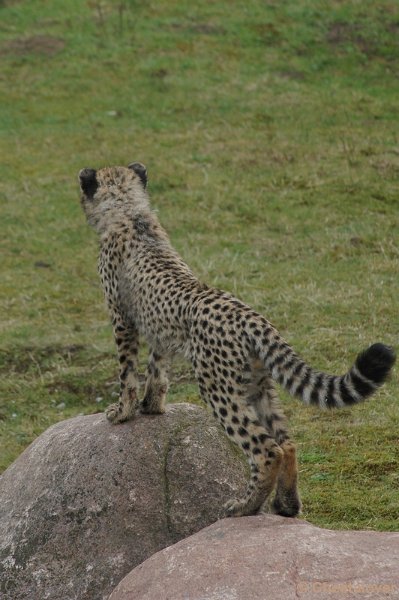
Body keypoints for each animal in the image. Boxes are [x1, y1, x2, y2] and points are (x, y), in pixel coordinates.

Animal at [79, 162, 396, 516]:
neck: (129, 213)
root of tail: (251, 316)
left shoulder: (122, 321)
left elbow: (127, 373)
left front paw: (122, 411)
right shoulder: (158, 331)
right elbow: (157, 369)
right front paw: (153, 406)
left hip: (217, 387)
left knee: (266, 449)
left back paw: (245, 505)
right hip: (256, 384)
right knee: (287, 441)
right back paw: (286, 504)